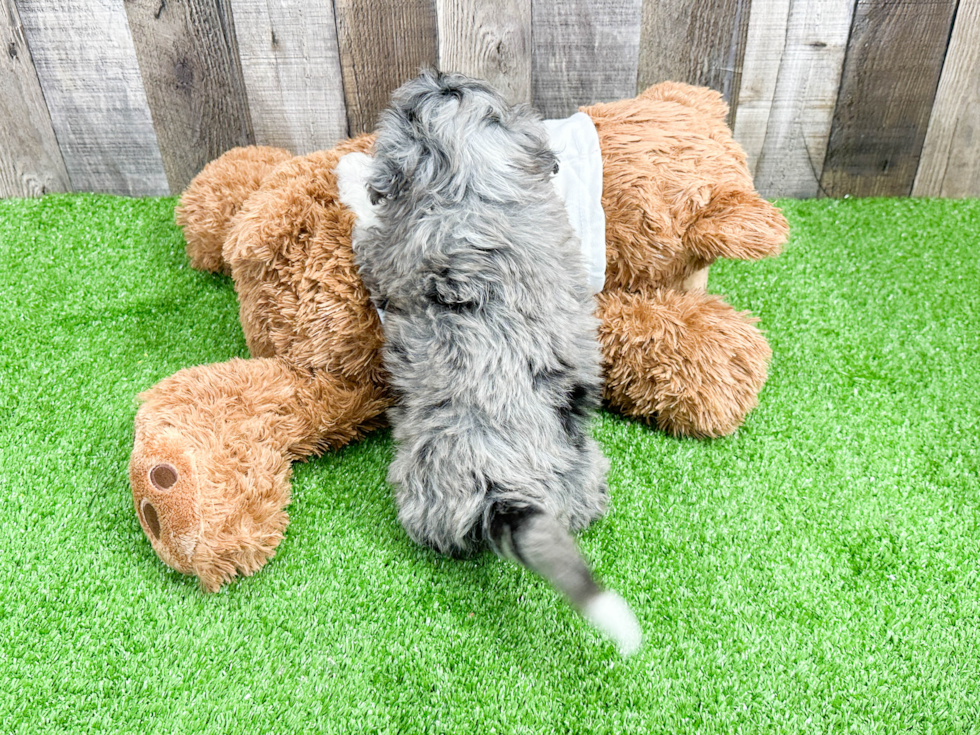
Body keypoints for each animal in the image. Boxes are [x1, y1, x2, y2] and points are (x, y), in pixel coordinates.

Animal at [356, 70, 640, 656]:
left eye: (409, 113)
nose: (441, 76)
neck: (471, 183)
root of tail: (503, 485)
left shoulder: (390, 252)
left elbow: (373, 248)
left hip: (420, 489)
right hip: (577, 469)